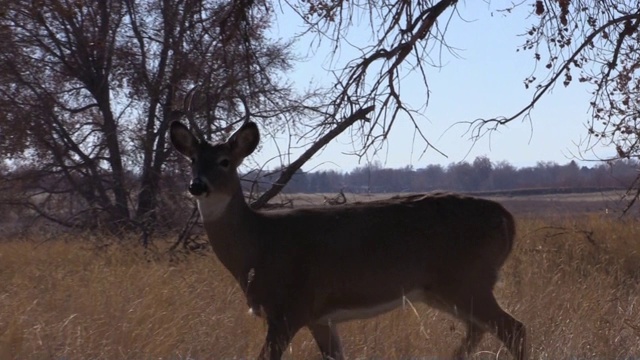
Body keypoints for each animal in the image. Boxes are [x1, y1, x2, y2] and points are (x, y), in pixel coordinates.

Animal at [169, 121, 524, 360]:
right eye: (192, 160)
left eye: (225, 162)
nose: (196, 185)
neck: (258, 245)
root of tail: (507, 218)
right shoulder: (320, 317)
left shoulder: (289, 308)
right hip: (444, 289)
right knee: (480, 330)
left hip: (467, 279)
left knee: (514, 329)